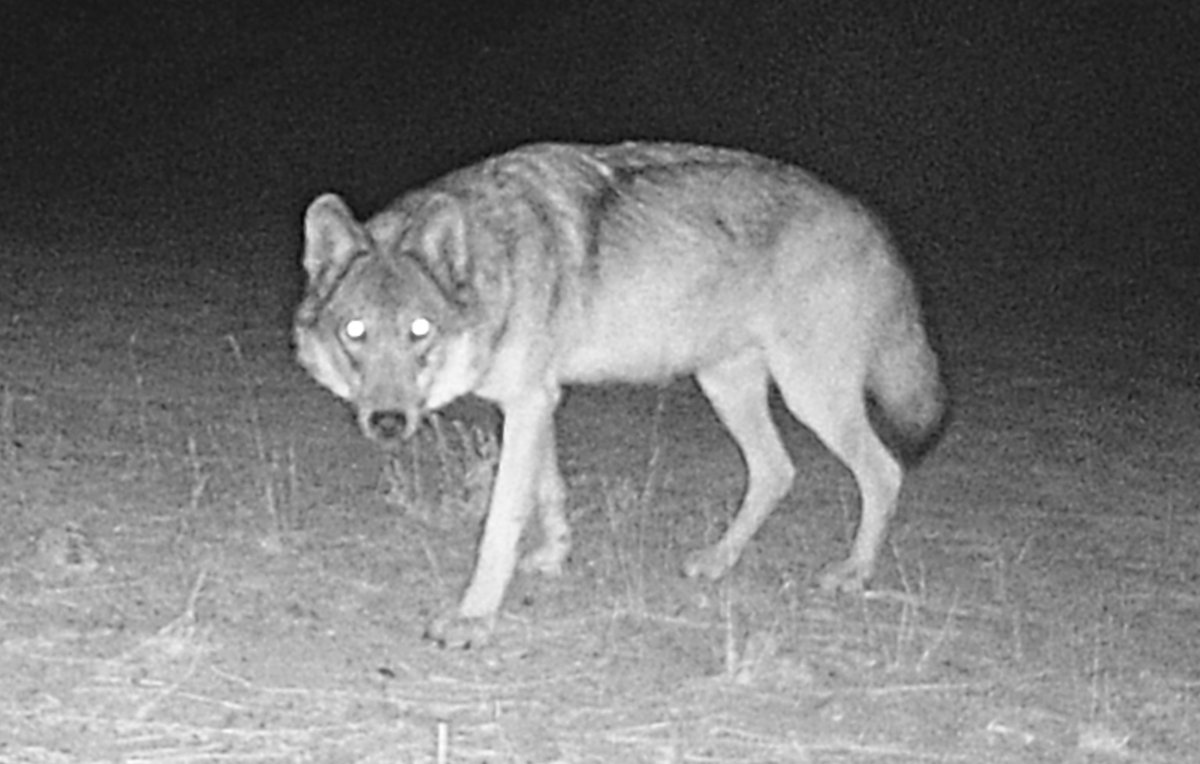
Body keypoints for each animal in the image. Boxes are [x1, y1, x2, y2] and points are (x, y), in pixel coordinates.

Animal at [294, 141, 945, 648]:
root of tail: (872, 222)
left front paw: (473, 618)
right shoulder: (536, 399)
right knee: (776, 471)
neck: (495, 259)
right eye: (355, 331)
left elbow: (502, 522)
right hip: (727, 387)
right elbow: (549, 491)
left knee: (883, 472)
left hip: (812, 396)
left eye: (419, 331)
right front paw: (554, 555)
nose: (386, 422)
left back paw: (853, 572)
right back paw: (718, 560)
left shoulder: (528, 404)